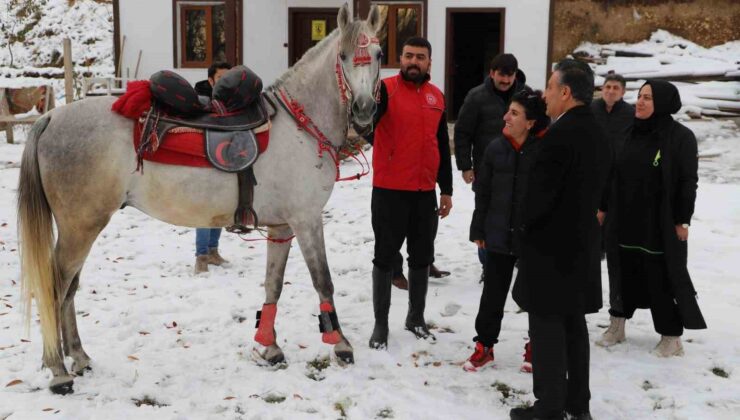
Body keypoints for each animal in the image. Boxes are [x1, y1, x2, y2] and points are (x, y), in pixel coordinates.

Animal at [18, 4, 382, 394]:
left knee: (69, 289)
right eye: (343, 56)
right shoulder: (307, 219)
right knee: (56, 288)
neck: (300, 125)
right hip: (81, 228)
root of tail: (52, 116)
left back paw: (79, 357)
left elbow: (273, 283)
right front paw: (341, 346)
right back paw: (59, 371)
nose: (363, 110)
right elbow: (323, 280)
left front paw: (269, 347)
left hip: (79, 228)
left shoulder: (282, 227)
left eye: (378, 54)